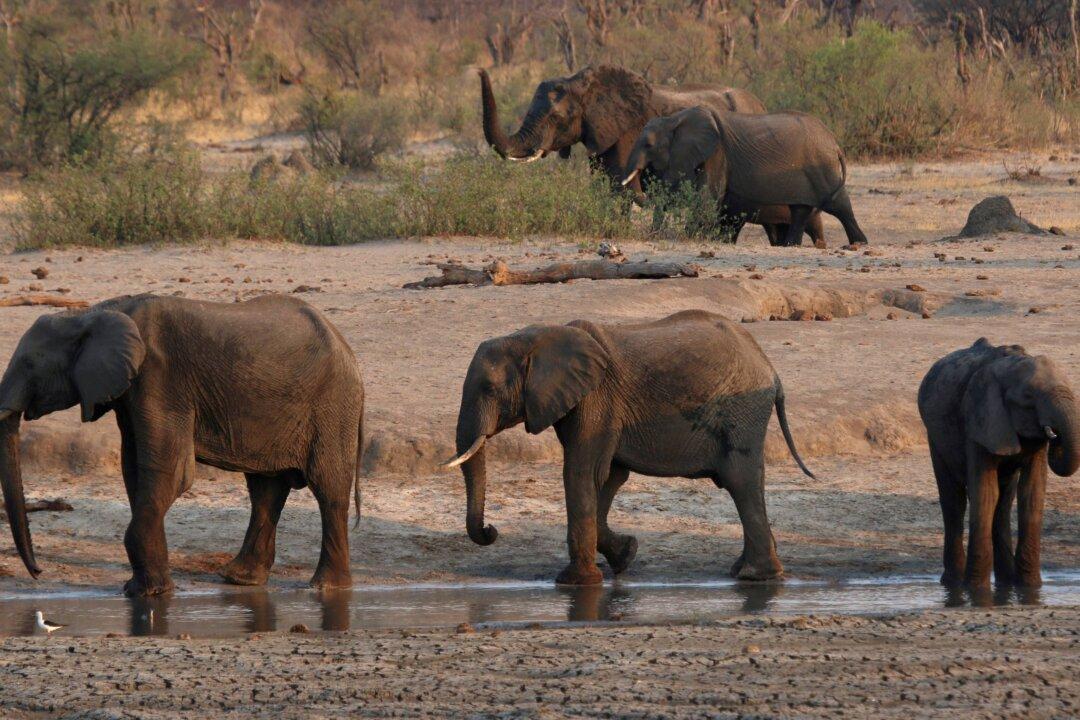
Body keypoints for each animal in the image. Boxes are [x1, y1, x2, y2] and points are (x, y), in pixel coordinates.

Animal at [0, 294, 364, 596]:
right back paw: (239, 579)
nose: (37, 572)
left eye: (30, 365)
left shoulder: (159, 379)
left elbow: (171, 473)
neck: (94, 313)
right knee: (265, 489)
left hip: (332, 405)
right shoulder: (131, 392)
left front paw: (147, 593)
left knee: (327, 489)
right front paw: (146, 588)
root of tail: (348, 351)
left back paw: (326, 587)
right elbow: (134, 469)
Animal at [442, 310, 814, 586]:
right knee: (747, 481)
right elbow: (609, 477)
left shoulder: (596, 400)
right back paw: (747, 571)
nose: (491, 531)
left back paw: (754, 575)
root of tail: (771, 369)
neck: (538, 337)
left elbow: (582, 473)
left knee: (740, 480)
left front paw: (575, 582)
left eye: (489, 389)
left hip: (742, 411)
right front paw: (626, 555)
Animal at [622, 105, 869, 247]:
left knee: (838, 204)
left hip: (822, 167)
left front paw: (690, 236)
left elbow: (708, 197)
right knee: (800, 209)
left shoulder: (717, 153)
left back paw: (859, 243)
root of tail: (834, 143)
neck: (673, 119)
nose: (653, 235)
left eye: (648, 145)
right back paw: (791, 245)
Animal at [918, 338, 1079, 589]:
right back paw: (953, 583)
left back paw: (1006, 581)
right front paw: (976, 590)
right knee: (954, 501)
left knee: (1003, 503)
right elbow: (985, 493)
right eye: (1028, 397)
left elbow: (1031, 494)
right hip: (935, 437)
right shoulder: (979, 421)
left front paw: (1030, 587)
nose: (1055, 434)